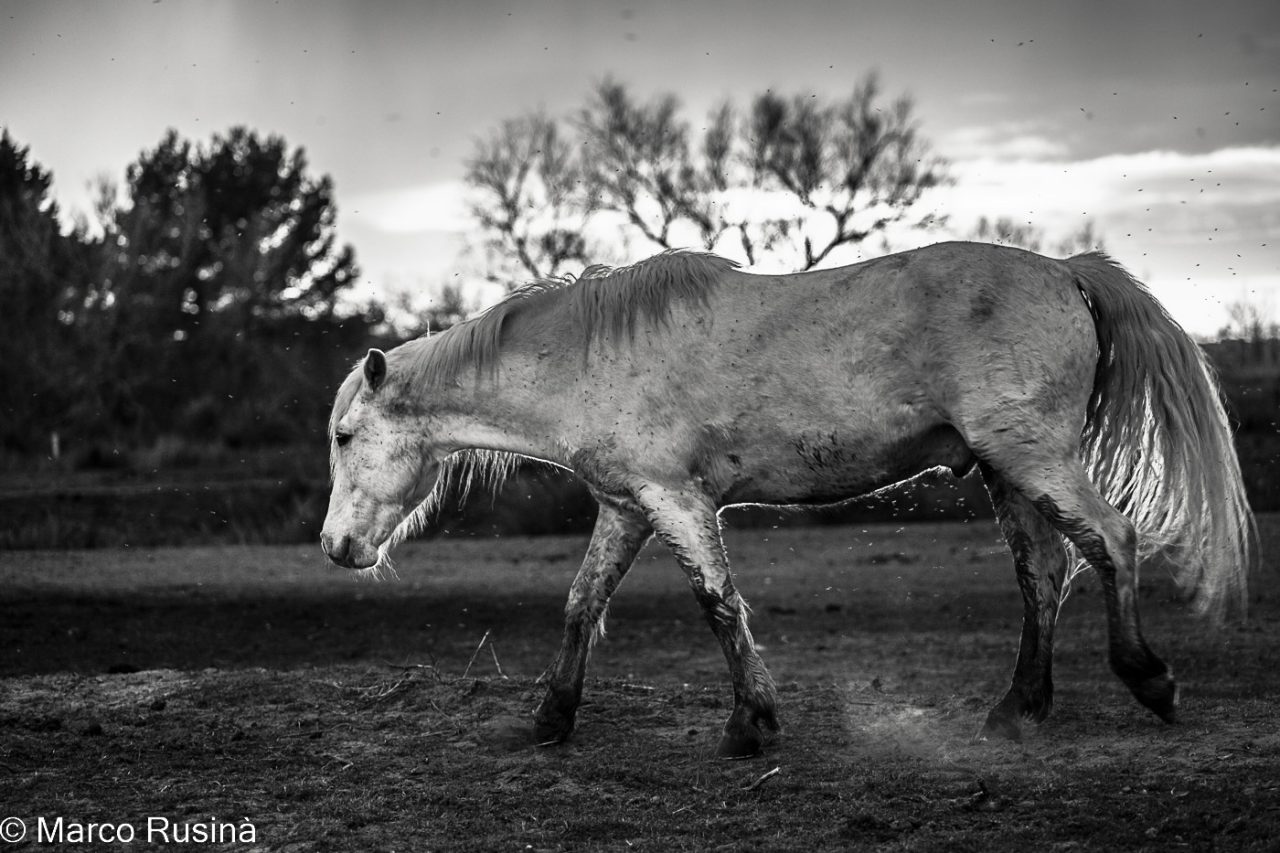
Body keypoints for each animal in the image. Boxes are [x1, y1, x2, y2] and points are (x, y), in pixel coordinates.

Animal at [317, 242, 1249, 753]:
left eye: (344, 436)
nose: (335, 548)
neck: (591, 359)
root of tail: (1064, 271)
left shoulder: (677, 502)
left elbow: (719, 603)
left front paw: (750, 724)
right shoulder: (627, 507)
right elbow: (583, 603)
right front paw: (550, 718)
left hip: (1035, 460)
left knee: (1113, 541)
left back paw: (1150, 680)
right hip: (1006, 473)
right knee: (1043, 578)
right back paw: (1018, 708)